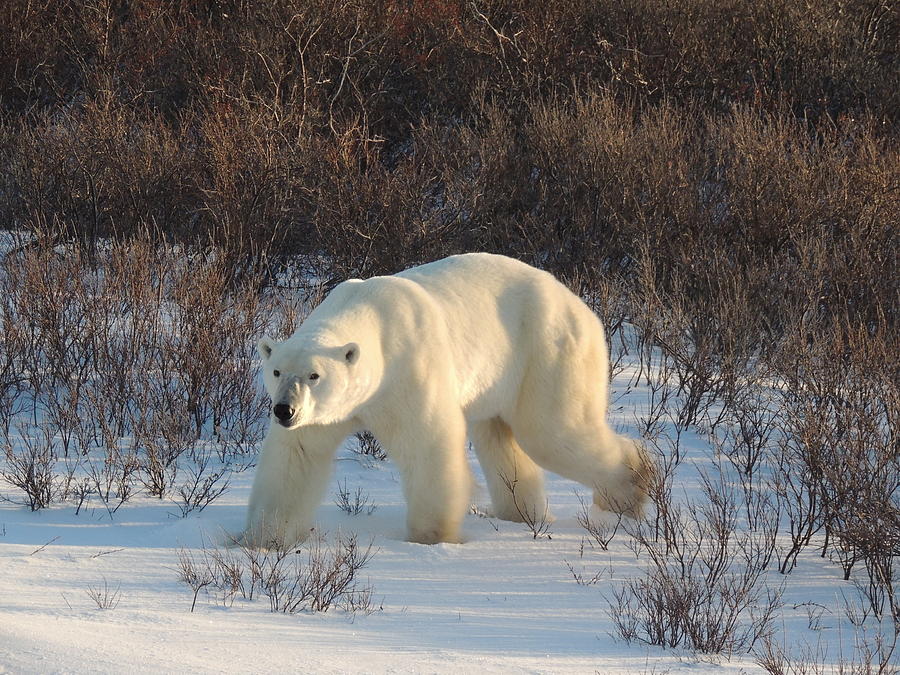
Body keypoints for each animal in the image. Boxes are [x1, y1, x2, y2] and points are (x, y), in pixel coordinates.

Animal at [243, 255, 652, 548]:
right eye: (277, 371)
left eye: (314, 375)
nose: (284, 410)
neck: (371, 316)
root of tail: (581, 306)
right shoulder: (323, 415)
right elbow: (297, 456)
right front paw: (265, 537)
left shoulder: (407, 368)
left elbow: (427, 443)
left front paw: (431, 537)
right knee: (498, 437)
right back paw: (521, 512)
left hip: (547, 349)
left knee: (553, 432)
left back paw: (629, 491)